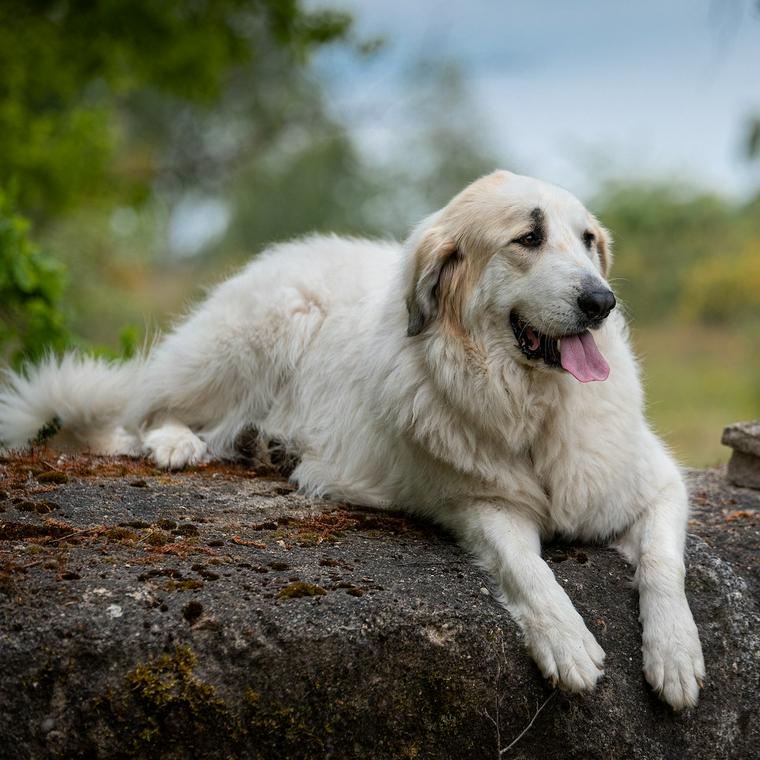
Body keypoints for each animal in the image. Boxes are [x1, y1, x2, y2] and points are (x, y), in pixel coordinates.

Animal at [0, 171, 708, 708]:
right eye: (529, 239)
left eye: (588, 241)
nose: (602, 301)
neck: (533, 404)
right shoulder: (482, 506)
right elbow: (529, 571)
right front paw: (567, 641)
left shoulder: (655, 484)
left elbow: (663, 565)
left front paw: (675, 655)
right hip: (255, 333)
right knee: (147, 412)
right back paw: (178, 444)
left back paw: (267, 446)